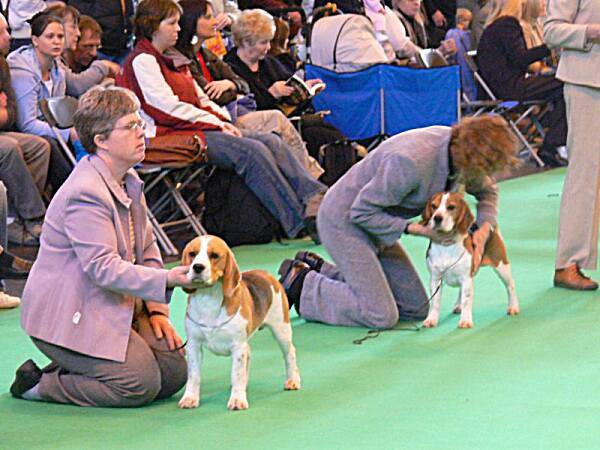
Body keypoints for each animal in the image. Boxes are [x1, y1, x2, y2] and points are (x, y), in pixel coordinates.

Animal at [177, 236, 300, 412]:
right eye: (192, 254)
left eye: (214, 255)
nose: (197, 267)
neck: (208, 298)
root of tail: (266, 274)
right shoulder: (193, 345)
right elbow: (193, 376)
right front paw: (190, 398)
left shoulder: (237, 346)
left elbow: (237, 374)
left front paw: (237, 399)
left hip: (281, 330)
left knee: (289, 354)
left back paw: (293, 380)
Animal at [420, 192, 516, 328]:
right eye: (434, 206)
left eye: (451, 207)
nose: (437, 218)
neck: (446, 244)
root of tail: (490, 226)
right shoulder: (435, 279)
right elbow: (435, 302)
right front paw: (431, 319)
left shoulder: (466, 278)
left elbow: (467, 301)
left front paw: (465, 320)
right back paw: (457, 306)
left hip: (501, 266)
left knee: (510, 286)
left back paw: (513, 307)